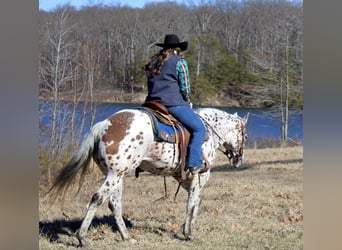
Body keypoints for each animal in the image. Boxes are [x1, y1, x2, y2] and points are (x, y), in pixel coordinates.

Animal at [49, 106, 248, 247]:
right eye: (245, 135)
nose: (239, 159)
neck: (209, 131)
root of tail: (104, 124)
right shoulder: (200, 174)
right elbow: (192, 202)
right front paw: (188, 233)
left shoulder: (182, 176)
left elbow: (196, 200)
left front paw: (188, 227)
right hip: (114, 174)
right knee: (97, 198)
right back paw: (82, 237)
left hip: (116, 175)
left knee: (114, 204)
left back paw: (127, 237)